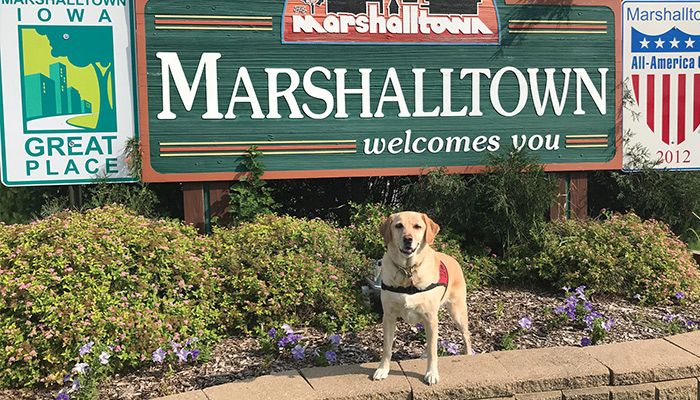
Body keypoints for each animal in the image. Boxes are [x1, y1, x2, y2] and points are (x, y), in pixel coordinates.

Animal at [372, 212, 476, 384]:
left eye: (417, 226)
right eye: (398, 226)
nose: (408, 239)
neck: (408, 270)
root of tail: (453, 259)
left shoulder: (430, 317)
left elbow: (434, 351)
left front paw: (432, 373)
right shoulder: (389, 317)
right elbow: (387, 348)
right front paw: (382, 369)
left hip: (457, 312)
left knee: (466, 335)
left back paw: (468, 355)